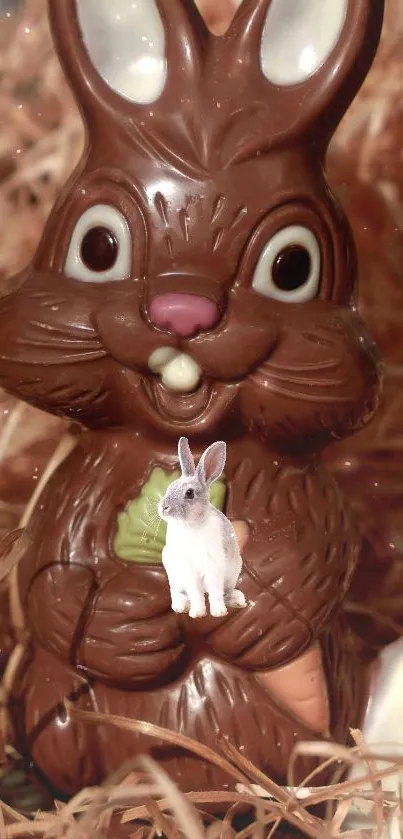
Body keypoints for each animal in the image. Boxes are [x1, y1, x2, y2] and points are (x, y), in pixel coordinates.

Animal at [157, 436, 246, 620]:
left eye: (189, 493)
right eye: (169, 487)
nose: (163, 507)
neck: (191, 524)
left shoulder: (214, 566)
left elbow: (215, 593)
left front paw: (218, 612)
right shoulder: (188, 570)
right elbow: (195, 594)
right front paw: (197, 613)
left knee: (224, 592)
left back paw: (238, 600)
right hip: (174, 575)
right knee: (177, 592)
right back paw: (180, 606)